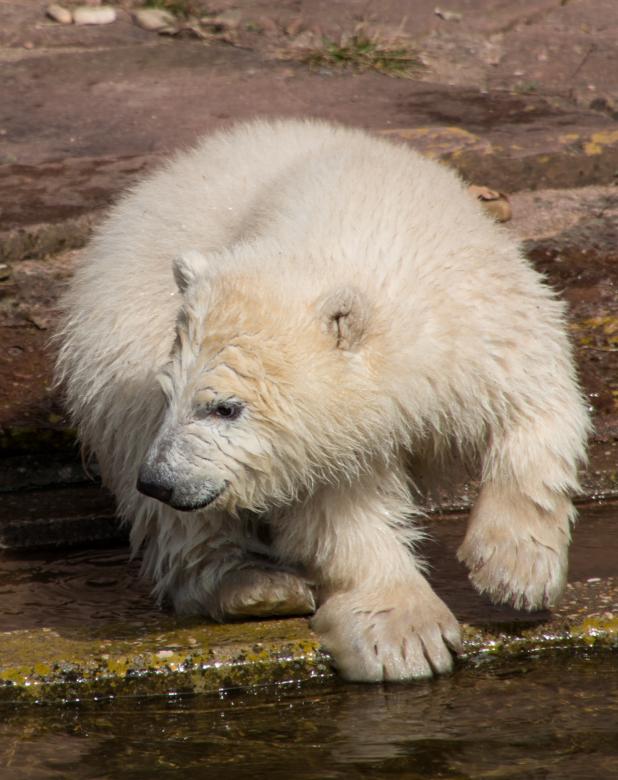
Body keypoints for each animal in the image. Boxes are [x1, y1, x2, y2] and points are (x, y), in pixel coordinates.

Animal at [55, 119, 590, 682]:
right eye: (171, 395)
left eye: (225, 407)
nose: (158, 479)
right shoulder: (307, 445)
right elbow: (339, 511)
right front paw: (405, 639)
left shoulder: (483, 319)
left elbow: (538, 408)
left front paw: (516, 572)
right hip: (121, 339)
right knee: (176, 514)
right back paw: (256, 586)